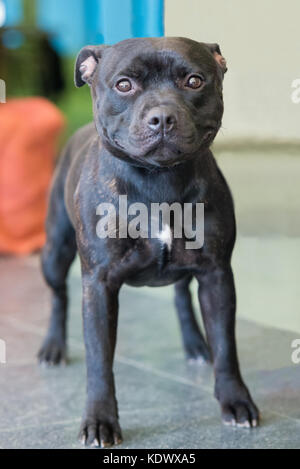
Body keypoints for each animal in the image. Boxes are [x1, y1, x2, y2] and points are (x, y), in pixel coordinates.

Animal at [38, 36, 258, 446]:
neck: (159, 181)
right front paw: (100, 420)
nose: (162, 117)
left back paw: (195, 344)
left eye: (194, 81)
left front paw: (235, 401)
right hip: (55, 253)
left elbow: (226, 347)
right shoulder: (99, 285)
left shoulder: (217, 275)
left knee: (181, 296)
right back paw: (53, 347)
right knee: (59, 296)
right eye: (124, 85)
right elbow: (99, 360)